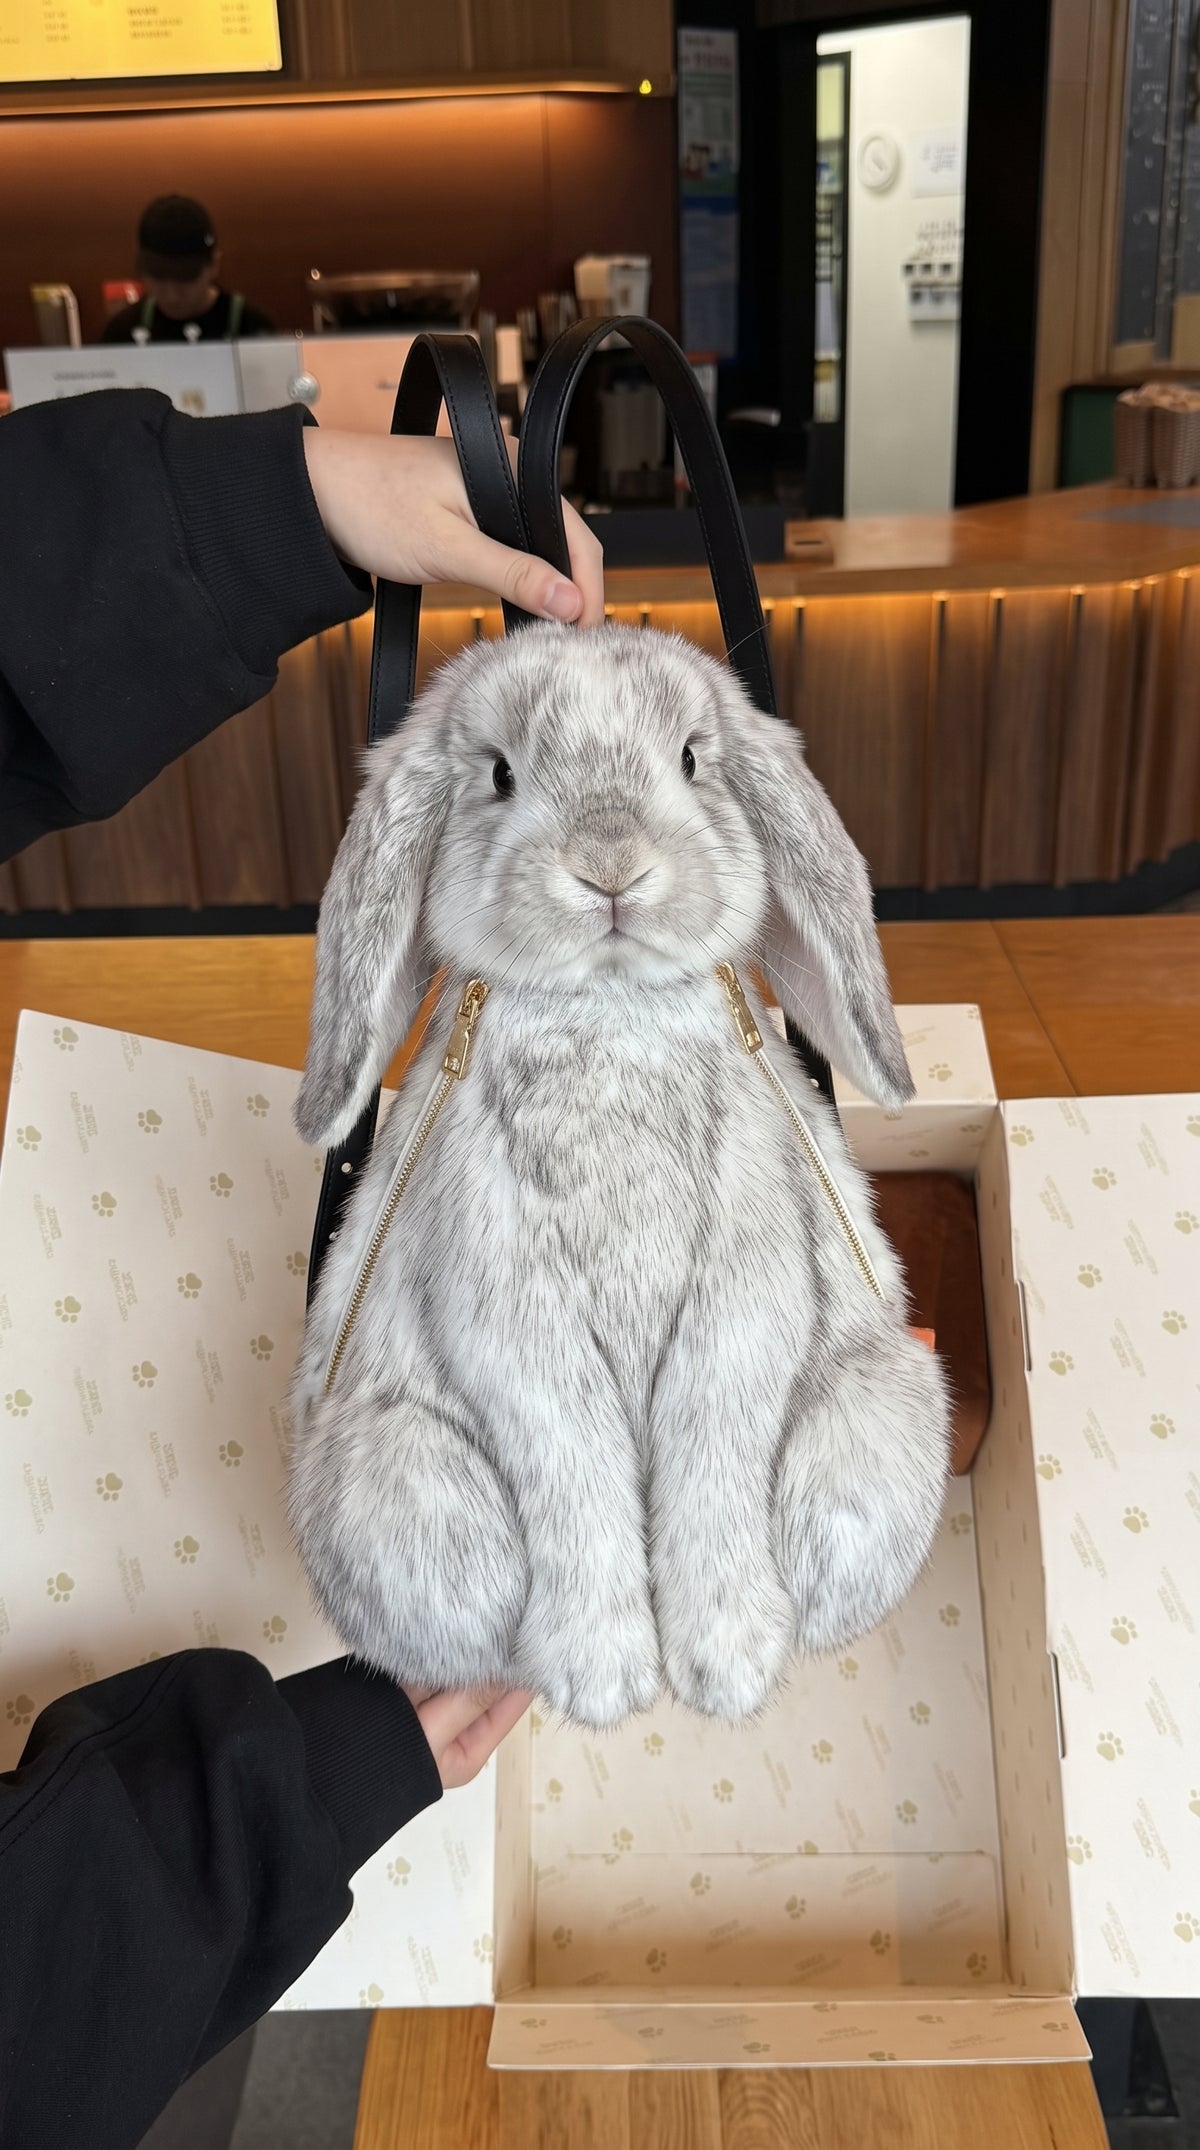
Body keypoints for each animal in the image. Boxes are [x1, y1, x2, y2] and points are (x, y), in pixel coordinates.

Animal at [289, 622, 950, 1729]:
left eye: (689, 759)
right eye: (500, 774)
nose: (610, 868)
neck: (609, 1005)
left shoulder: (741, 1290)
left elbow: (711, 1439)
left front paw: (726, 1664)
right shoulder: (511, 1309)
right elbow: (574, 1456)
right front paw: (602, 1677)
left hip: (867, 1432)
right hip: (400, 1490)